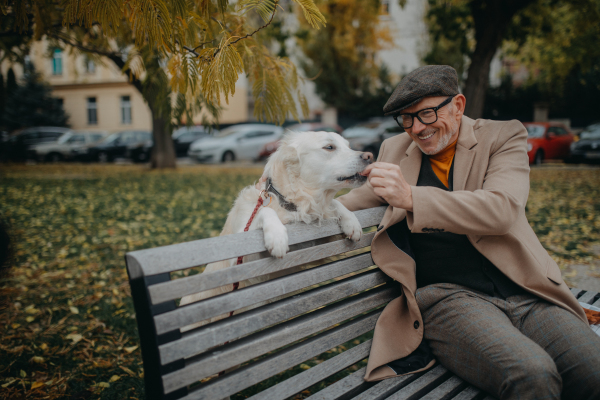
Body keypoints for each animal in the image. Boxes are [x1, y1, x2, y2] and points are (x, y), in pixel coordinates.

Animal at [178, 130, 372, 324]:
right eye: (329, 147)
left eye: (348, 145)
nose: (369, 156)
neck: (291, 202)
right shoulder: (242, 259)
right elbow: (265, 210)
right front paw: (277, 237)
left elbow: (335, 203)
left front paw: (351, 221)